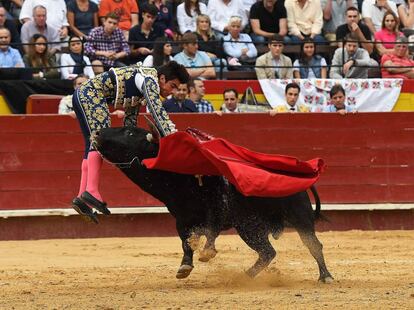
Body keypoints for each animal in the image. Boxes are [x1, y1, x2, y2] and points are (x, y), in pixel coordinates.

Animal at [93, 126, 334, 284]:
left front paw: (207, 253)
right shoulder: (182, 219)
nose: (97, 133)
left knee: (313, 245)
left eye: (129, 133)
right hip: (249, 227)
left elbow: (210, 231)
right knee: (267, 252)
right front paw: (184, 267)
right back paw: (245, 277)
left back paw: (326, 276)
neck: (179, 177)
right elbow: (186, 243)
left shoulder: (216, 208)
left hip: (299, 216)